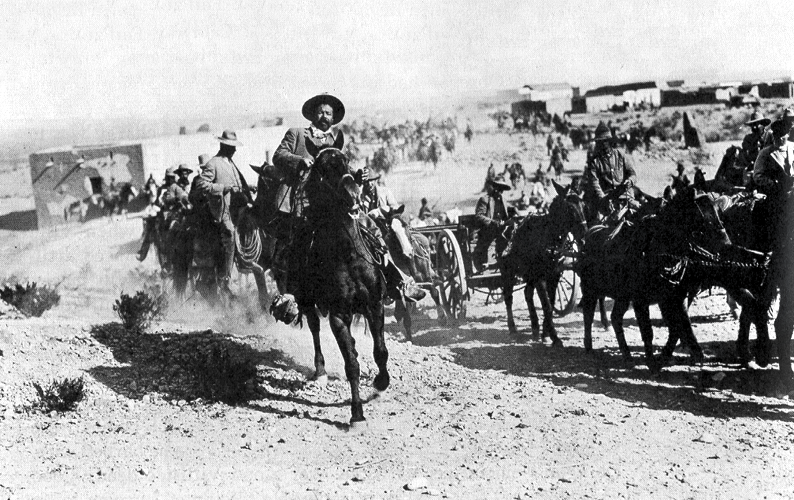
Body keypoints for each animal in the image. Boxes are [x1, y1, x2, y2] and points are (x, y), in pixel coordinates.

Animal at [502, 181, 588, 344]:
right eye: (569, 208)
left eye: (583, 205)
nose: (584, 238)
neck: (548, 237)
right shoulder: (540, 278)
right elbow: (546, 305)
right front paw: (554, 337)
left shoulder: (554, 276)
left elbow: (551, 302)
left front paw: (545, 332)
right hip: (509, 271)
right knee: (508, 297)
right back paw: (512, 327)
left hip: (529, 274)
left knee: (527, 293)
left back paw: (535, 327)